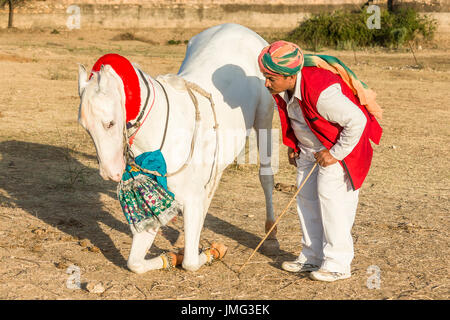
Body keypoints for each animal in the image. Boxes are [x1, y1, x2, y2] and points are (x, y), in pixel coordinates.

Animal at [77, 23, 276, 272]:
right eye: (85, 127)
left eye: (110, 123)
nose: (110, 172)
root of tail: (238, 27)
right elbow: (134, 263)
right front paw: (171, 257)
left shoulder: (189, 198)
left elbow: (190, 262)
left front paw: (212, 252)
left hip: (265, 117)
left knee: (266, 176)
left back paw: (271, 234)